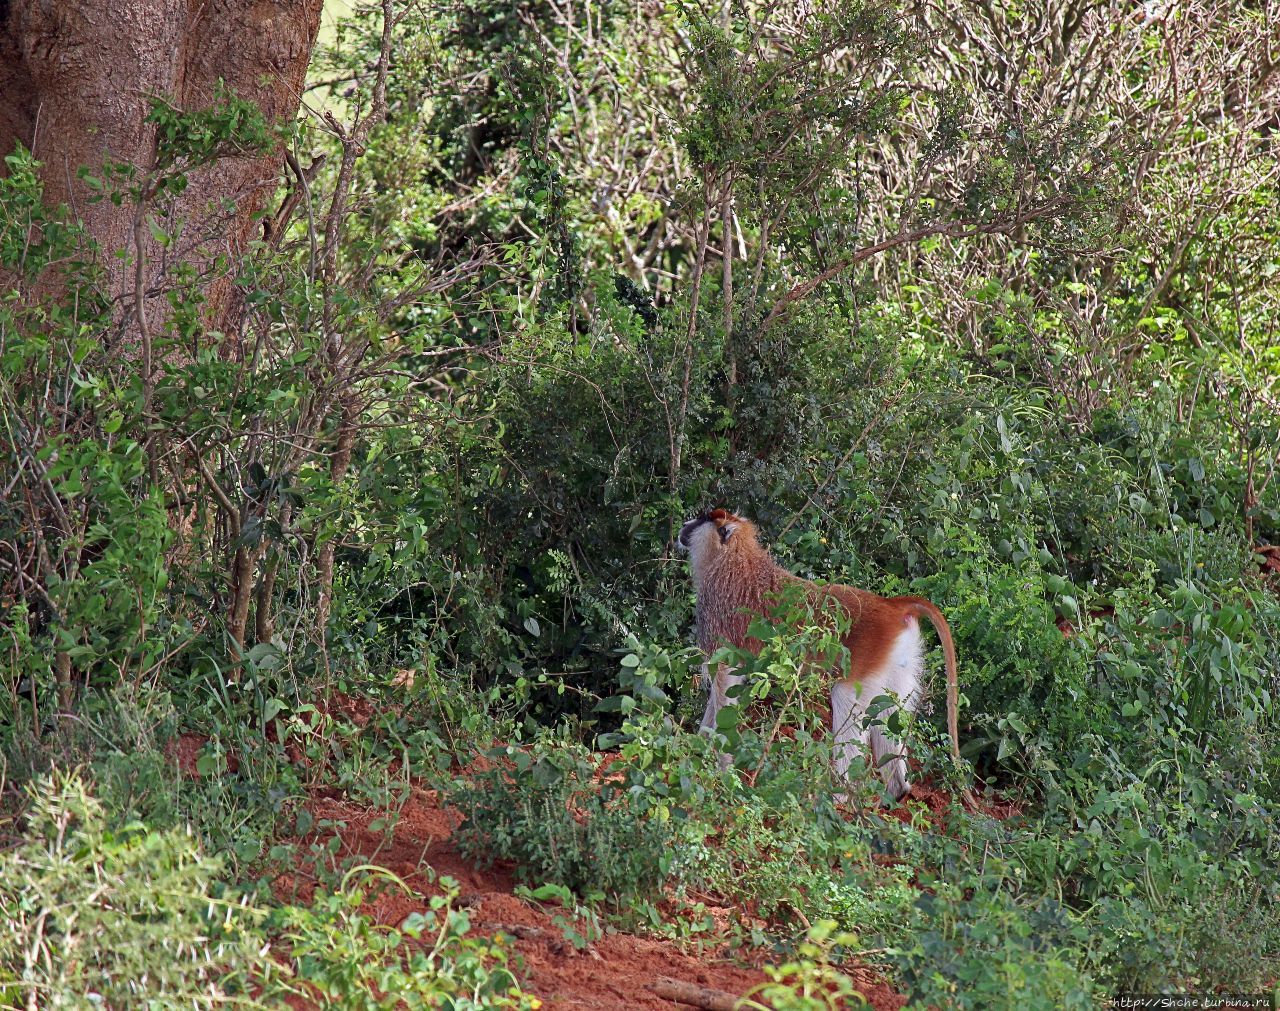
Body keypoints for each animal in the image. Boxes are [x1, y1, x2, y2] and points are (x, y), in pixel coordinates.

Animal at [675, 511, 972, 813]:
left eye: (700, 519)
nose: (685, 525)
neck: (735, 557)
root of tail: (893, 606)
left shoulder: (718, 618)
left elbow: (725, 680)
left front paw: (720, 769)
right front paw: (698, 749)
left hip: (868, 655)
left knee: (846, 700)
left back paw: (837, 798)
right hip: (900, 659)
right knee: (887, 709)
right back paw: (896, 792)